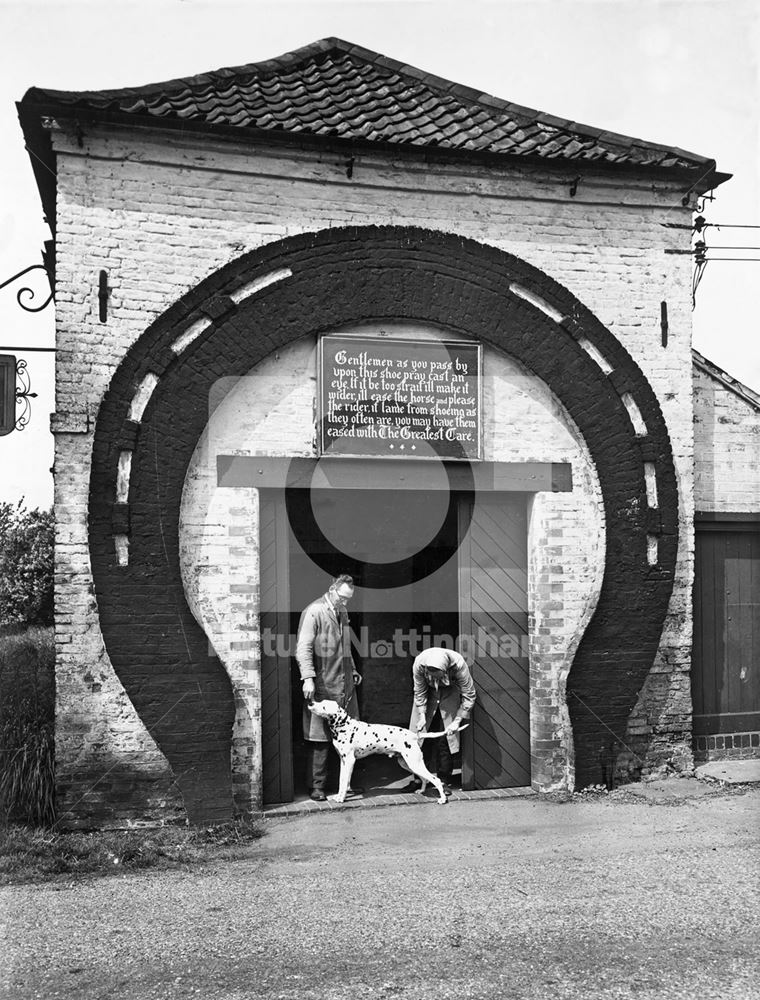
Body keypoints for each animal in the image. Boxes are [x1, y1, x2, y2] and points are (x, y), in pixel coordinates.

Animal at [308, 700, 464, 808]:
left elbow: (344, 781)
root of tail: (414, 735)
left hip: (414, 764)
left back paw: (442, 799)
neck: (344, 726)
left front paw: (341, 798)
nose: (311, 702)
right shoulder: (344, 761)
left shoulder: (350, 761)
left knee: (435, 779)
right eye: (321, 701)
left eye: (323, 706)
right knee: (425, 778)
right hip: (408, 764)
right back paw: (421, 791)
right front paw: (339, 796)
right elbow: (342, 781)